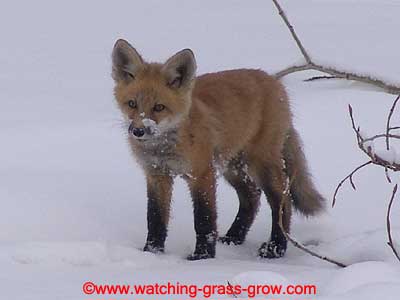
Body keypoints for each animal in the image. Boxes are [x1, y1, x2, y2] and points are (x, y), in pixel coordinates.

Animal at [111, 39, 324, 260]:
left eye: (159, 107)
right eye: (132, 104)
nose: (138, 131)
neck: (164, 147)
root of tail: (273, 80)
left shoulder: (202, 174)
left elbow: (204, 218)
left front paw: (203, 256)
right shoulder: (157, 175)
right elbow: (155, 219)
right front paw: (152, 253)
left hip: (261, 164)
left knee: (283, 199)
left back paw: (276, 247)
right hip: (233, 167)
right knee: (252, 196)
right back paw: (234, 237)